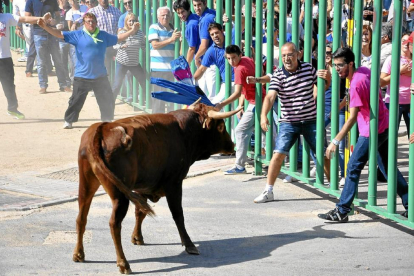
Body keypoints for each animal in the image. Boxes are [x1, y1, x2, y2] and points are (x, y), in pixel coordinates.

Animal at [73, 103, 241, 274]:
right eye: (220, 126)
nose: (232, 145)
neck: (184, 132)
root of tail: (101, 129)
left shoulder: (143, 188)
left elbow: (140, 212)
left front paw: (137, 237)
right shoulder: (174, 184)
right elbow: (178, 215)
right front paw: (189, 245)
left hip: (86, 185)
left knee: (81, 218)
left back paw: (78, 254)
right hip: (120, 195)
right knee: (114, 224)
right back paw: (123, 263)